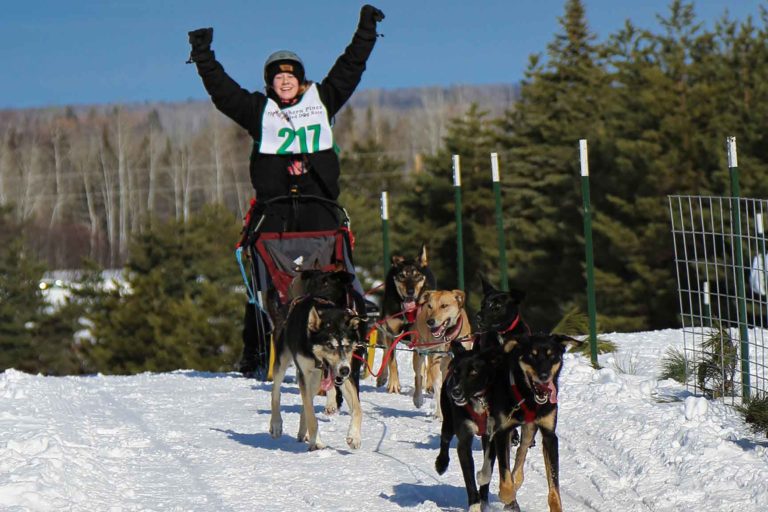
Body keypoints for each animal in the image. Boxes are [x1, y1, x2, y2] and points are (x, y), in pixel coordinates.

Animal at [270, 296, 366, 452]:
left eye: (346, 345)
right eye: (329, 345)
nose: (344, 370)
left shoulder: (346, 375)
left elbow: (358, 409)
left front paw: (354, 436)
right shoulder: (304, 374)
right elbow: (311, 414)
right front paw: (316, 440)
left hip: (316, 381)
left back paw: (303, 433)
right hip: (282, 362)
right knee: (276, 392)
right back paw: (276, 424)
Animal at [376, 246, 436, 394]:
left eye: (416, 275)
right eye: (402, 276)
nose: (410, 291)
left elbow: (426, 362)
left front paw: (428, 384)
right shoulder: (391, 332)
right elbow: (391, 360)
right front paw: (393, 385)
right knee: (385, 352)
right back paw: (382, 376)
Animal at [414, 288, 474, 420]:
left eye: (444, 306)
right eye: (430, 306)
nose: (430, 322)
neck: (449, 337)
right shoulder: (435, 359)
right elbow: (437, 385)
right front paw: (440, 413)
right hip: (420, 352)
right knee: (418, 375)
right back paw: (418, 399)